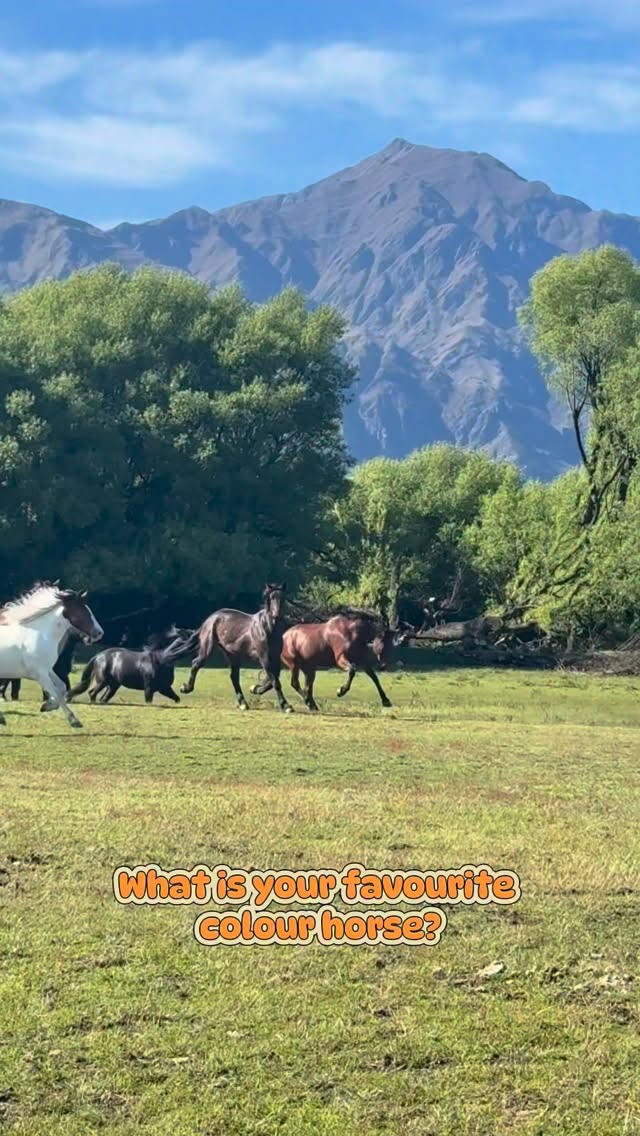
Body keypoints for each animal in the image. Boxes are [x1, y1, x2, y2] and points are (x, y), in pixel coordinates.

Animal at [0, 583, 103, 728]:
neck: (41, 635)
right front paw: (73, 720)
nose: (99, 633)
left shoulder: (48, 670)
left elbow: (62, 687)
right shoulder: (40, 673)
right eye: (83, 611)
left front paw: (47, 706)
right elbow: (56, 692)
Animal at [163, 583, 292, 712]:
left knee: (233, 677)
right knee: (196, 663)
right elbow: (275, 681)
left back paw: (243, 703)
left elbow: (273, 678)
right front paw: (286, 706)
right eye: (272, 597)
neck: (268, 628)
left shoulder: (275, 657)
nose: (277, 615)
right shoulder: (264, 657)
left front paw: (255, 688)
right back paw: (185, 688)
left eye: (283, 597)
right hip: (208, 649)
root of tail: (210, 619)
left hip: (233, 655)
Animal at [251, 612, 413, 711]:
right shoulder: (341, 659)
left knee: (305, 686)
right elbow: (352, 671)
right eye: (384, 641)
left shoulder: (363, 662)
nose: (384, 665)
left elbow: (374, 678)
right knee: (295, 684)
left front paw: (386, 701)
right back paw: (308, 703)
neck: (352, 633)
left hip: (309, 669)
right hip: (294, 665)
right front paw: (341, 691)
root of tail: (284, 636)